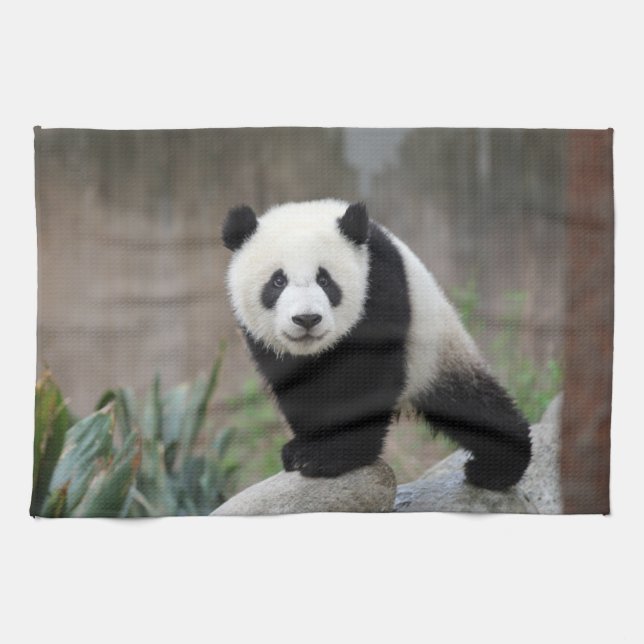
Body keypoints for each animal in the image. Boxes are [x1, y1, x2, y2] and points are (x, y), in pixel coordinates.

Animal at [222, 199, 531, 490]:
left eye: (325, 280)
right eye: (277, 281)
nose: (307, 319)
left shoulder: (378, 284)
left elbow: (369, 376)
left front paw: (333, 456)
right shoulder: (265, 342)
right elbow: (297, 385)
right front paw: (302, 449)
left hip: (437, 350)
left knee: (473, 405)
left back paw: (498, 467)